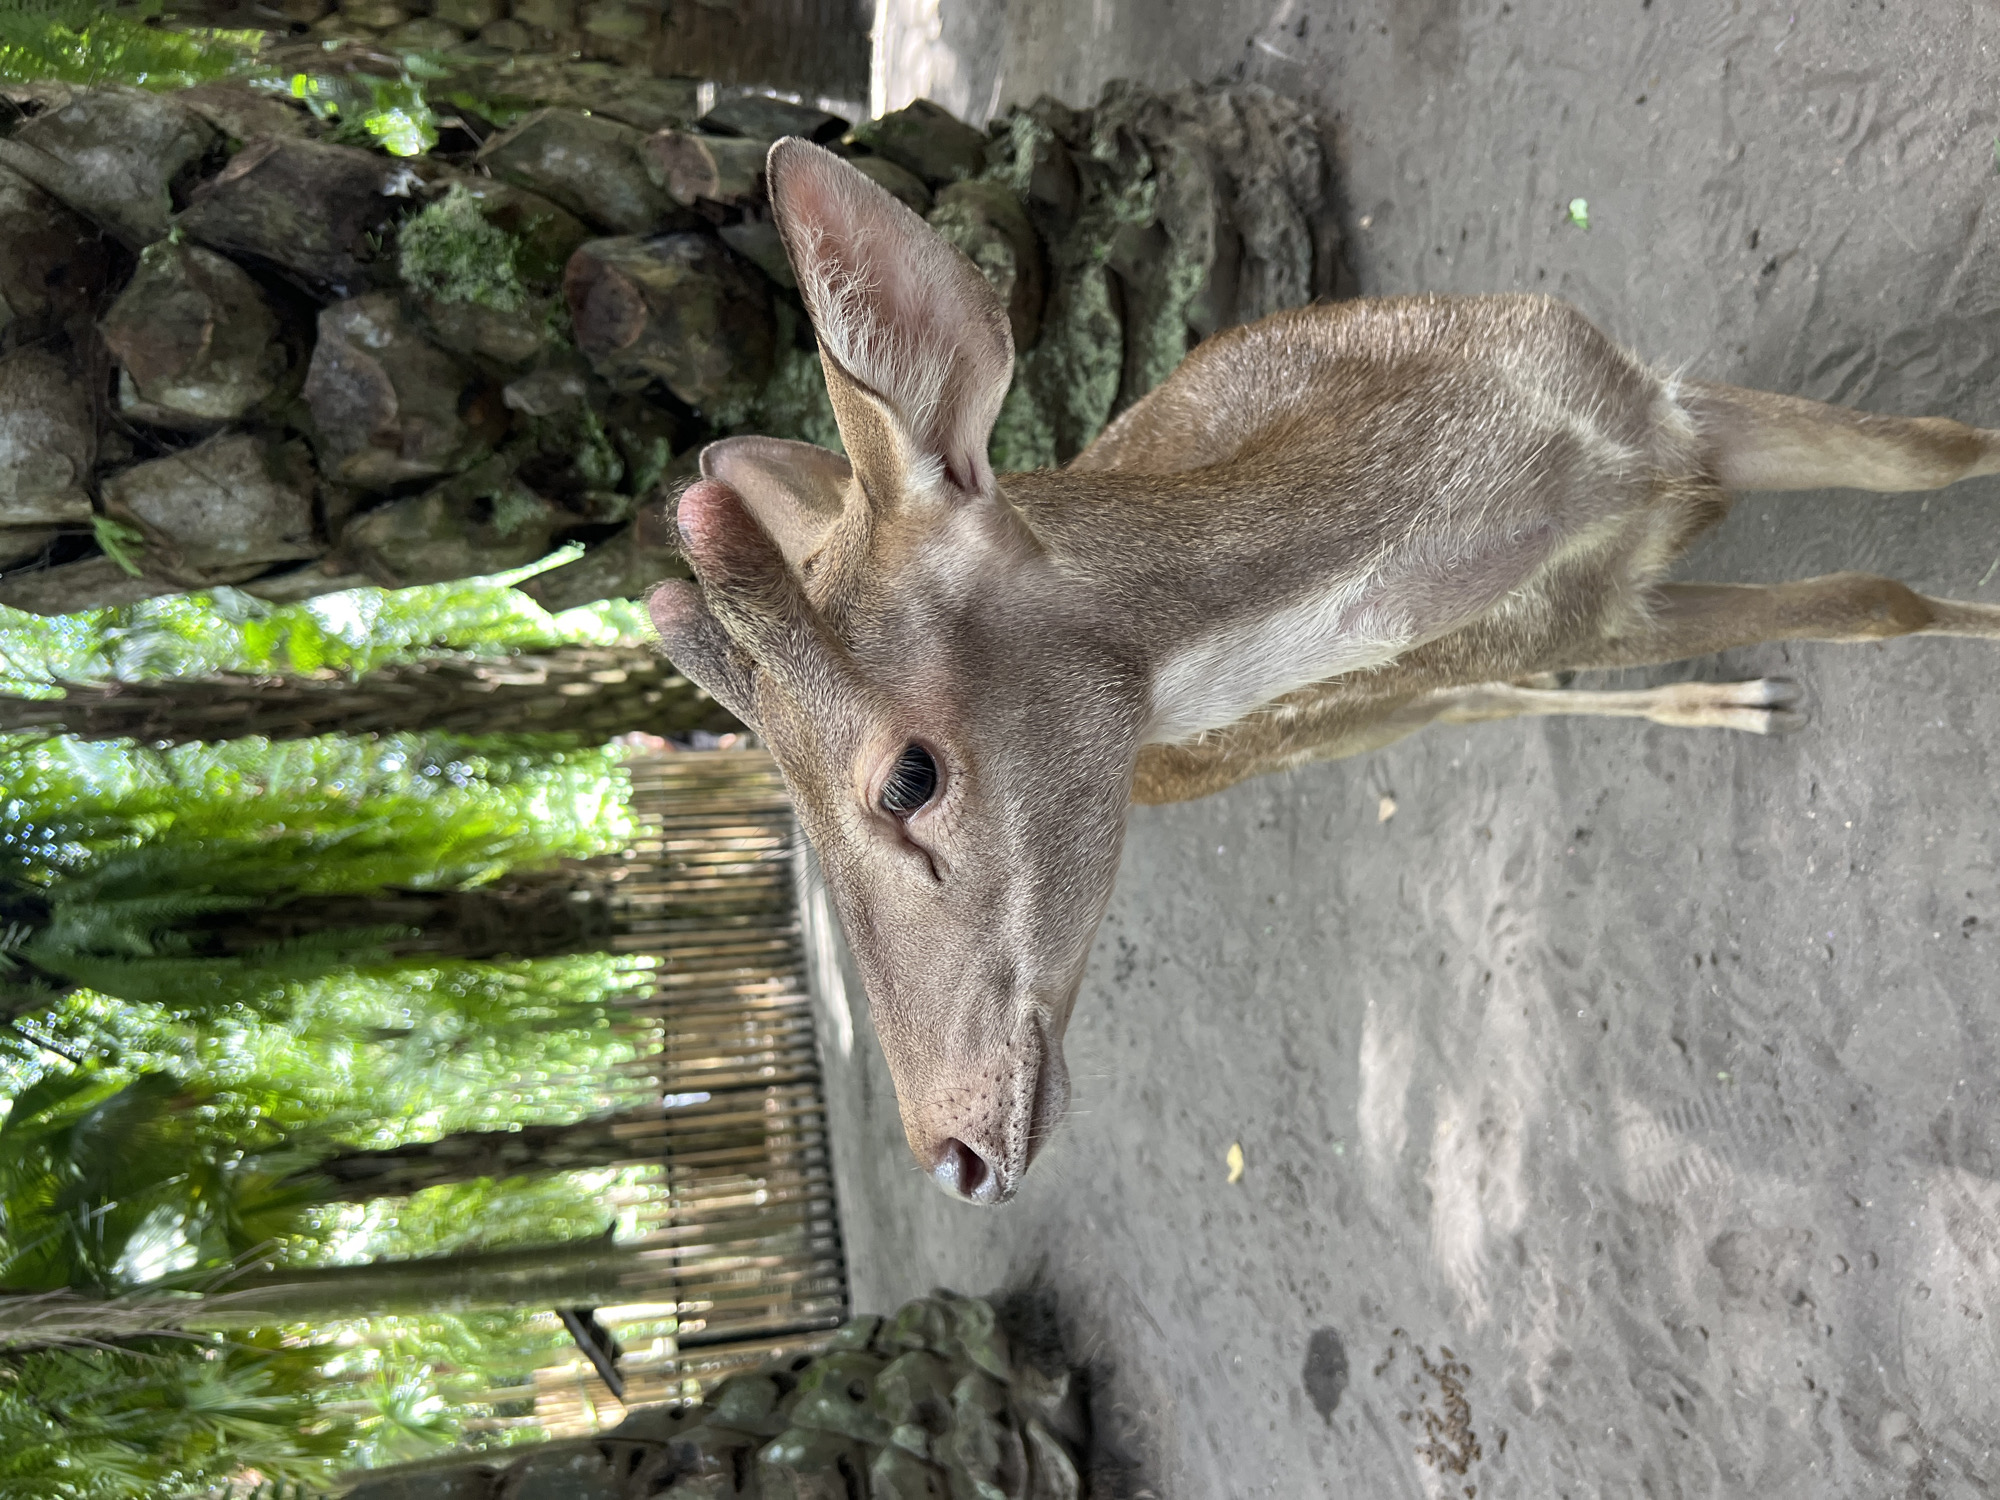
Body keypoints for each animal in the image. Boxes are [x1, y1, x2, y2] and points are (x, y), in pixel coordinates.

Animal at [645, 138, 2000, 1205]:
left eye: (906, 780)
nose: (953, 1154)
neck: (1547, 479)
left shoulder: (1654, 402)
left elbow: (1939, 459)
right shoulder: (1577, 618)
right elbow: (1871, 601)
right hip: (1383, 713)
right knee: (1490, 704)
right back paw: (1741, 699)